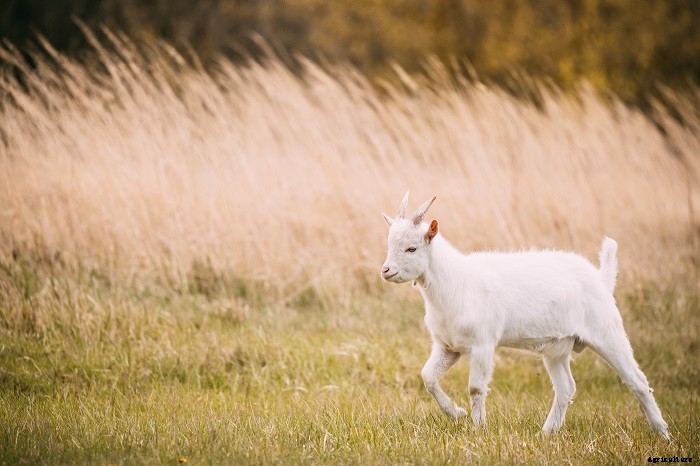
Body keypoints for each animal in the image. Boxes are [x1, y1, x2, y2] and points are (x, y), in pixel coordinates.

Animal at [380, 192, 669, 439]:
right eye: (389, 244)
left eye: (411, 248)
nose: (386, 270)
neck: (455, 282)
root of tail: (601, 279)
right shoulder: (447, 346)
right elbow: (427, 377)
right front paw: (457, 413)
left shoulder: (483, 343)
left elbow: (476, 388)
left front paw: (478, 430)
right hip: (557, 348)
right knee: (566, 388)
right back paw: (546, 433)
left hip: (607, 332)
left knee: (637, 380)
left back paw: (663, 434)